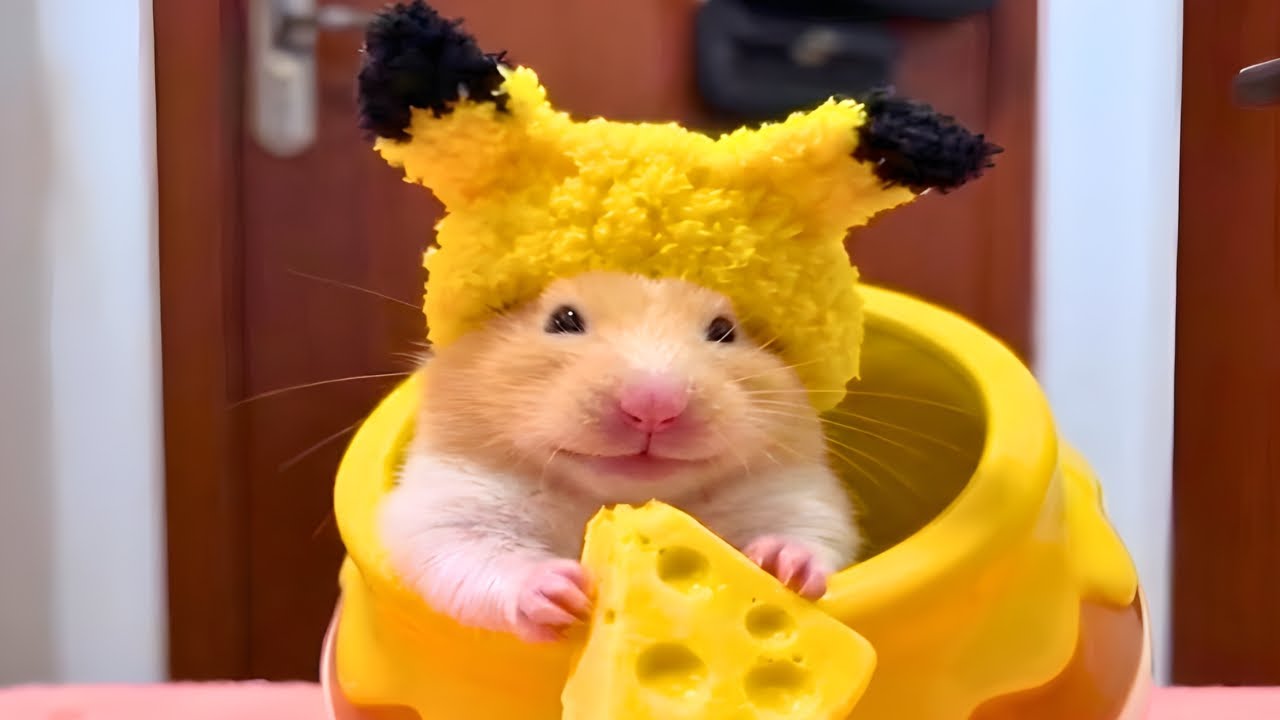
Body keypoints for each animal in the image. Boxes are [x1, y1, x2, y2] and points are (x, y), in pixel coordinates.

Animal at [379, 271, 860, 643]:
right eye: (563, 319)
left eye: (724, 330)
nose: (654, 405)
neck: (608, 496)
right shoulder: (449, 507)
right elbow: (475, 552)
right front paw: (564, 595)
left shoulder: (798, 496)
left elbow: (807, 532)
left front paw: (780, 565)